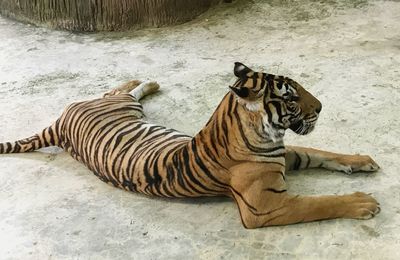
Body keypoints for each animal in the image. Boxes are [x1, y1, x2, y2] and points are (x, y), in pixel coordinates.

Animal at [0, 62, 382, 228]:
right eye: (290, 98)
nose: (321, 107)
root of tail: (60, 123)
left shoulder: (284, 155)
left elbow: (324, 153)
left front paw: (362, 160)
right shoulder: (264, 207)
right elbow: (319, 204)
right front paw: (363, 202)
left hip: (122, 107)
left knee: (117, 88)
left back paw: (150, 81)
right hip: (120, 106)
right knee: (117, 90)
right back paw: (148, 81)